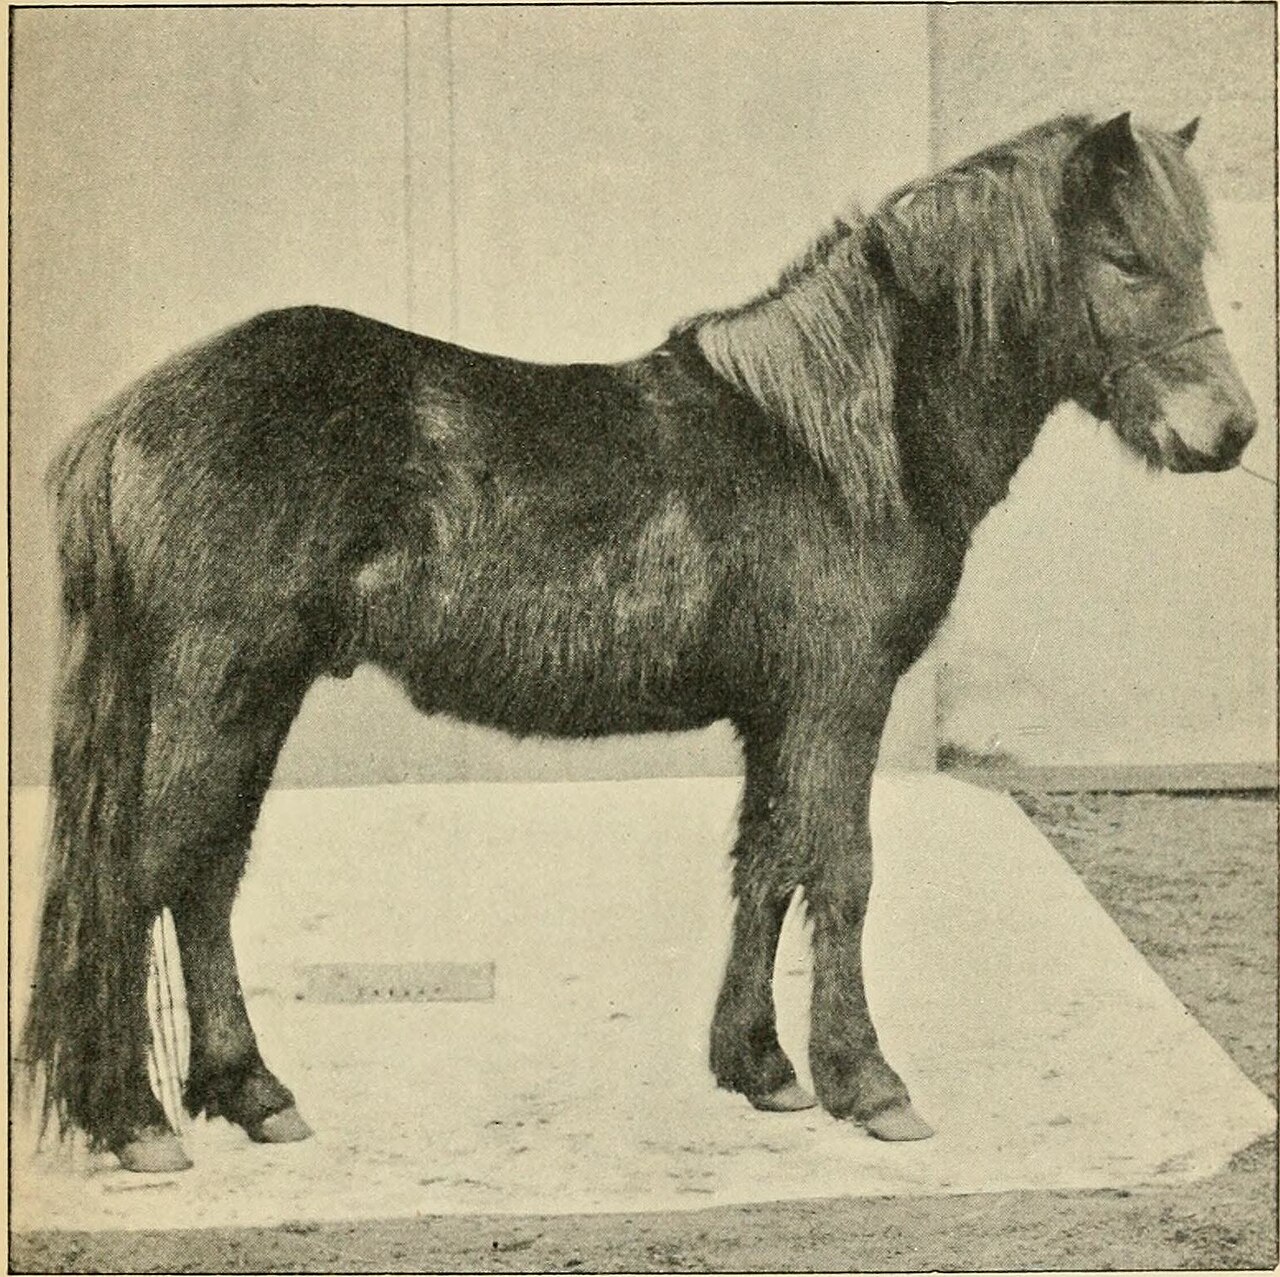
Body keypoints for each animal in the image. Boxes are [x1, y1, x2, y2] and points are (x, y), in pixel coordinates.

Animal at [23, 112, 1256, 1173]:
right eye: (1124, 257)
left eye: (1191, 254)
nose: (1231, 429)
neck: (828, 441)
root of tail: (126, 417)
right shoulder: (838, 698)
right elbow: (842, 870)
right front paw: (868, 1083)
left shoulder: (779, 712)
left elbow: (767, 865)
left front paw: (762, 1067)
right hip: (221, 683)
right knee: (146, 871)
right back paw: (136, 1119)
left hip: (256, 692)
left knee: (205, 875)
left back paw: (252, 1093)